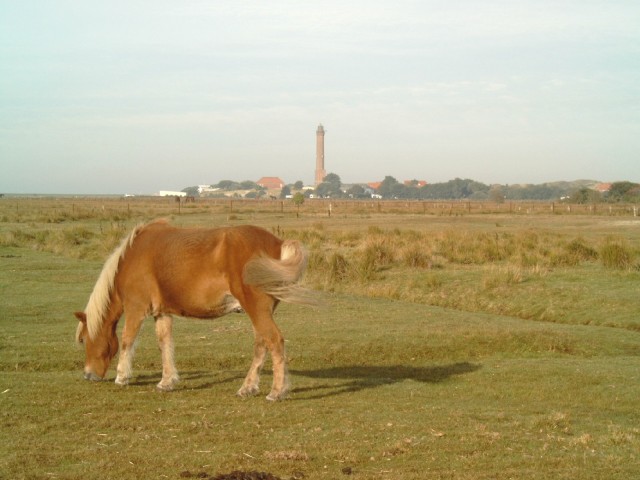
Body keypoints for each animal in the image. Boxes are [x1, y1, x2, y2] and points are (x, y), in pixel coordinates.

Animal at [75, 220, 316, 402]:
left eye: (84, 339)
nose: (88, 375)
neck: (133, 255)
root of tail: (278, 243)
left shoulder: (136, 309)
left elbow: (127, 341)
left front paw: (122, 377)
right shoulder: (162, 313)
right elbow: (165, 344)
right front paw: (167, 381)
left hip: (256, 309)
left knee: (274, 341)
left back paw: (277, 391)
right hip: (259, 312)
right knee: (261, 345)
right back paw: (248, 388)